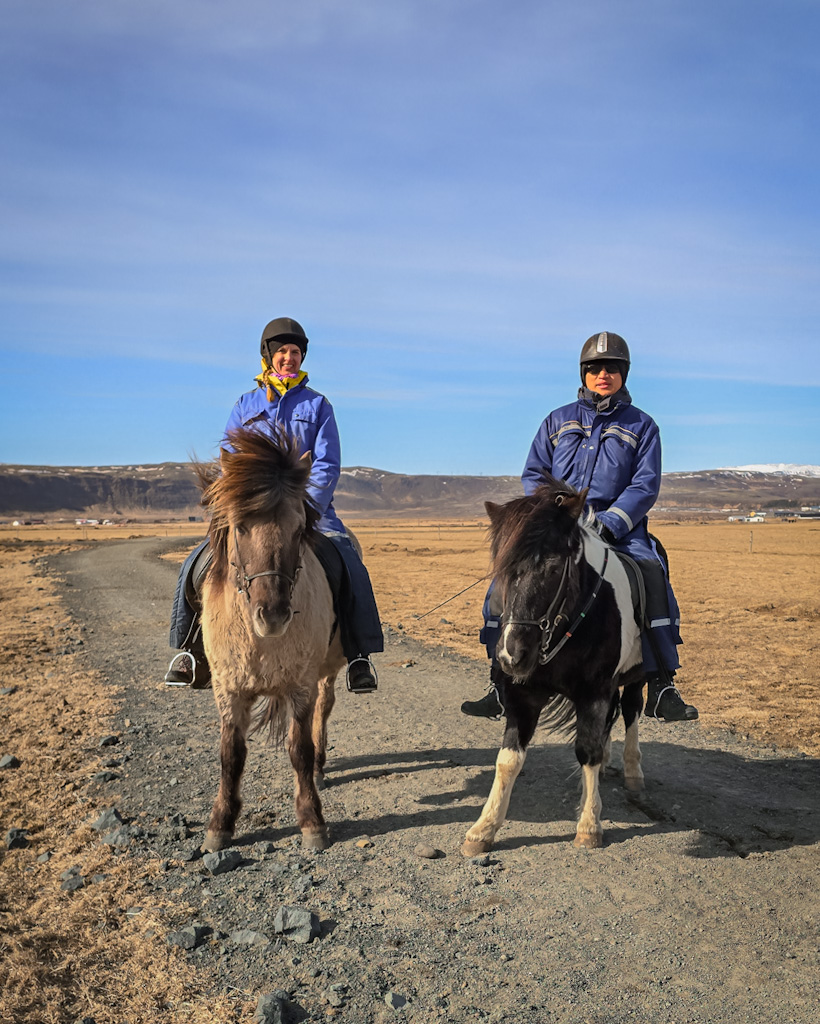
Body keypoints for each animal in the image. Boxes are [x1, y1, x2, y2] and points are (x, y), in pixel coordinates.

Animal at [199, 428, 348, 851]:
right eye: (240, 527)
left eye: (299, 530)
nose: (274, 615)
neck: (258, 640)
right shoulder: (229, 689)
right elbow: (230, 755)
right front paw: (220, 824)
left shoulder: (301, 685)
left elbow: (300, 749)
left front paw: (312, 820)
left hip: (327, 670)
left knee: (323, 712)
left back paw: (320, 769)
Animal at [464, 479, 642, 856]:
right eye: (501, 568)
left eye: (554, 567)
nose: (512, 655)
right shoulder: (524, 694)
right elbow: (508, 759)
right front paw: (483, 829)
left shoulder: (595, 691)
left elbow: (586, 751)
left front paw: (589, 825)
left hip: (635, 676)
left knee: (632, 711)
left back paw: (633, 772)